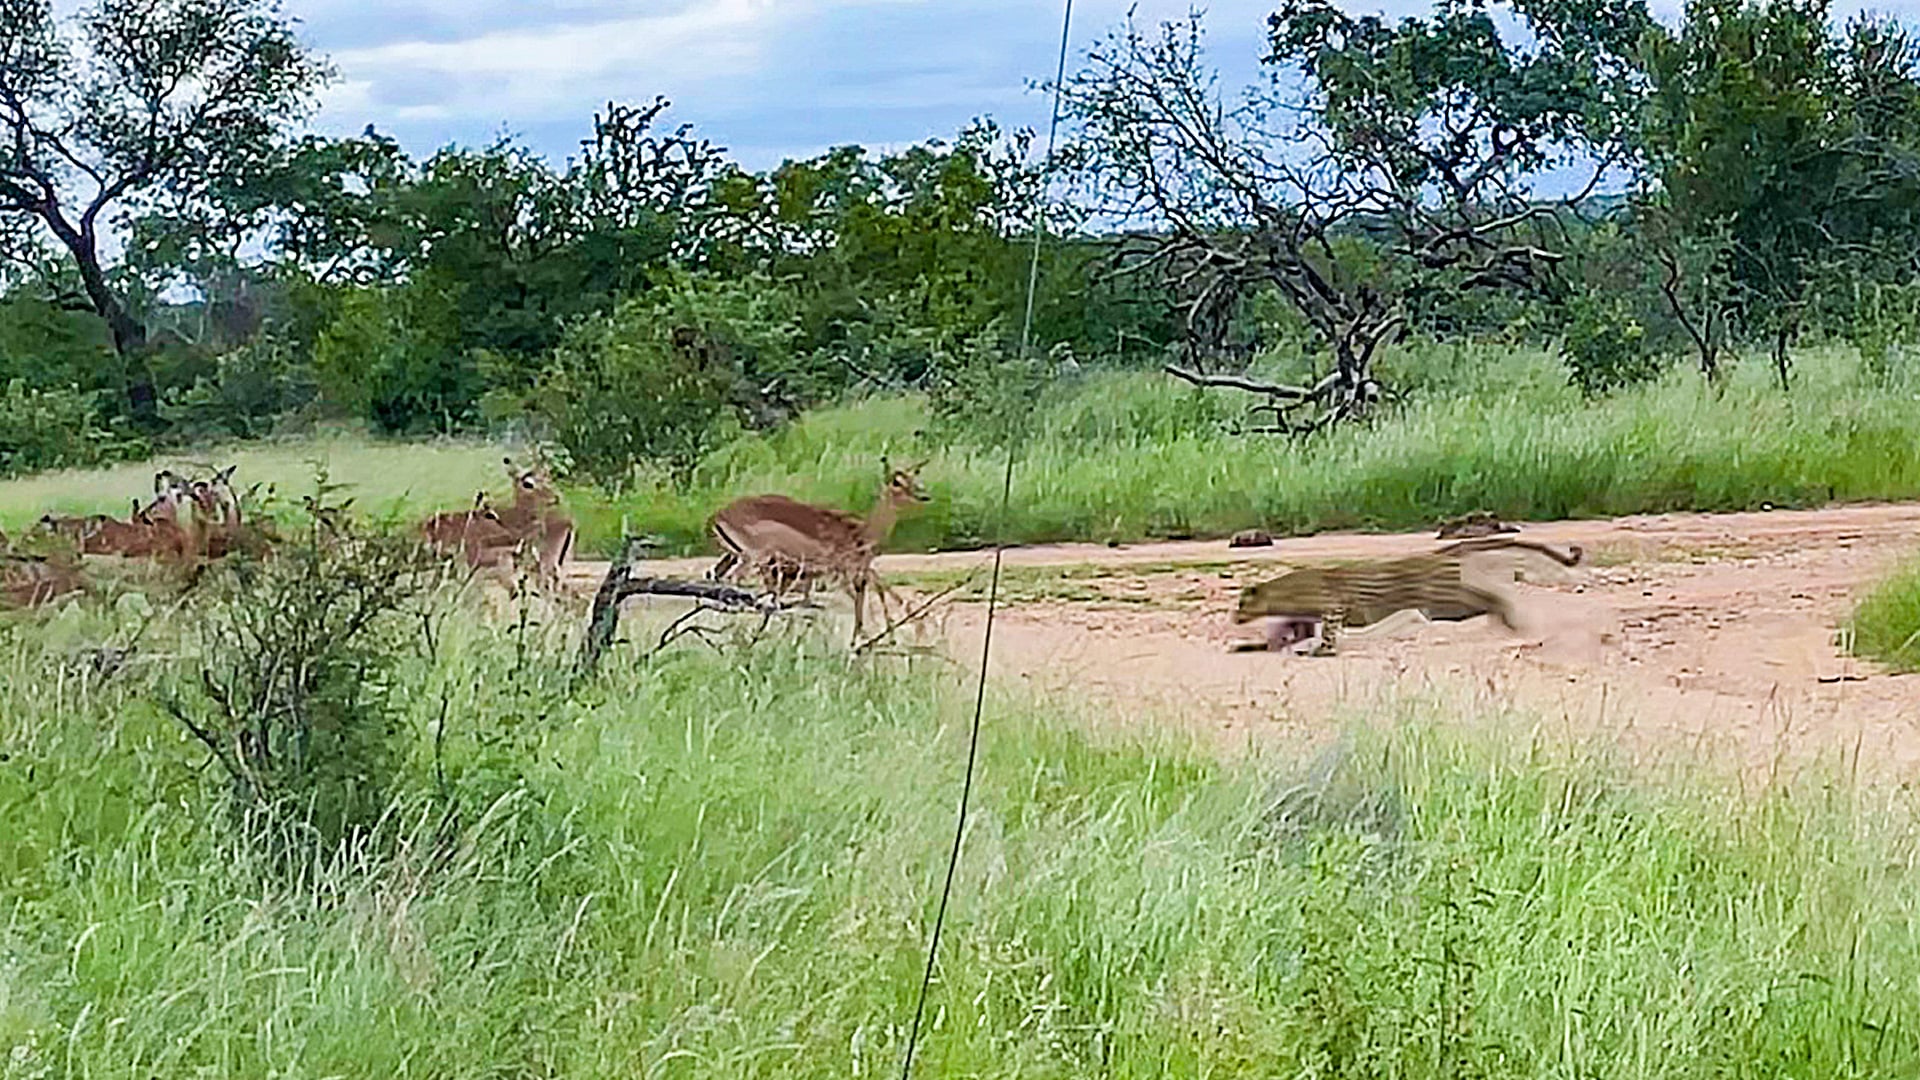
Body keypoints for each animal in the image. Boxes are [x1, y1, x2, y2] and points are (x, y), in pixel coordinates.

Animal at [708, 458, 930, 647]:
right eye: (896, 482)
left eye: (914, 478)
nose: (923, 496)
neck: (859, 532)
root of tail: (718, 516)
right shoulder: (838, 572)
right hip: (753, 559)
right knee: (735, 582)